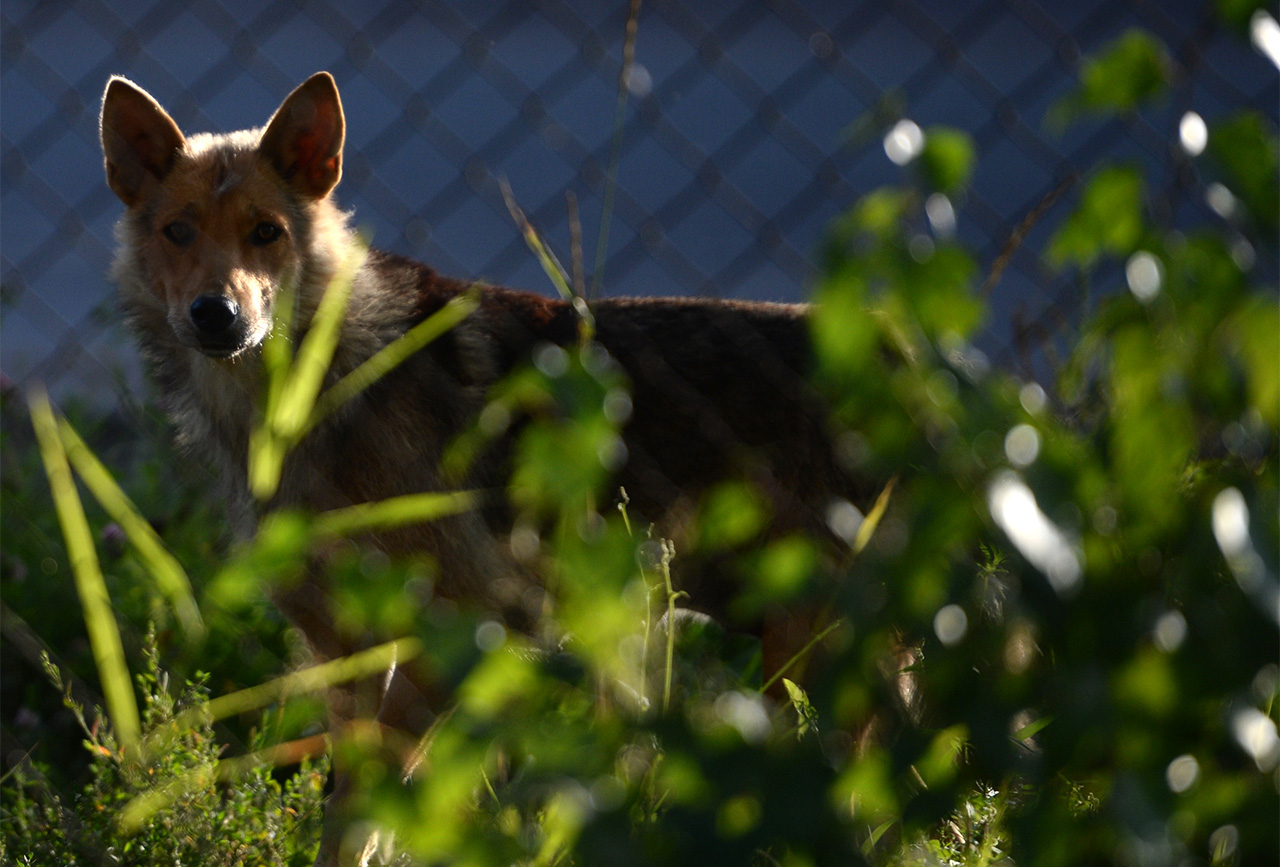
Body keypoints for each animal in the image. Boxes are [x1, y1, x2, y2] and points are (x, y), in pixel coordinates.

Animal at [99, 71, 870, 860]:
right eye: (178, 231)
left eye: (266, 233)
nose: (215, 314)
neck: (319, 397)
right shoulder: (343, 652)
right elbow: (348, 812)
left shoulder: (457, 624)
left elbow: (372, 806)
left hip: (804, 653)